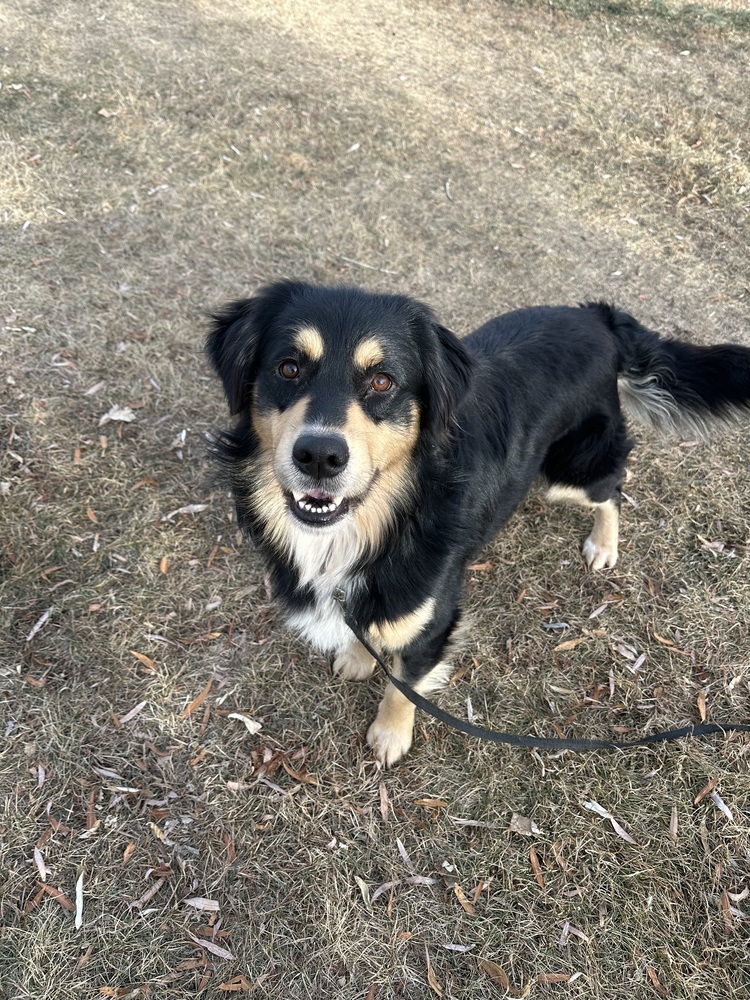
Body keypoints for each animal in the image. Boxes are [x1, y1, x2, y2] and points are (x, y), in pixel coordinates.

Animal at [206, 282, 750, 764]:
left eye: (382, 381)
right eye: (288, 368)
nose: (319, 456)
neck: (384, 522)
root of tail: (601, 319)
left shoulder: (437, 616)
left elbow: (404, 685)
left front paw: (390, 735)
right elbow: (370, 632)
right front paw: (361, 657)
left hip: (570, 469)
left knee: (613, 489)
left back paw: (603, 545)